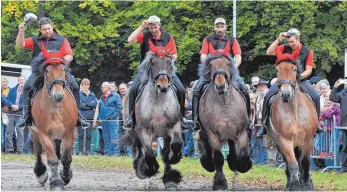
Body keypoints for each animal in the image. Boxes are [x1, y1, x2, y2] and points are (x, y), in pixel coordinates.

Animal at [29, 54, 77, 190]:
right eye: (47, 71)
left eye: (64, 69)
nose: (59, 95)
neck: (56, 107)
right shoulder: (43, 134)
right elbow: (52, 159)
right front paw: (56, 183)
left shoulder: (69, 133)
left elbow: (66, 158)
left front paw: (65, 177)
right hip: (34, 133)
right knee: (38, 151)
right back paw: (41, 173)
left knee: (58, 151)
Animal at [124, 51, 185, 189]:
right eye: (153, 63)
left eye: (169, 63)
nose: (162, 86)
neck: (159, 101)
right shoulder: (144, 131)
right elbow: (149, 154)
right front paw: (149, 170)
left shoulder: (174, 126)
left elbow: (176, 145)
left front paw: (174, 159)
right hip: (133, 132)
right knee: (138, 148)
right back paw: (140, 168)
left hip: (165, 134)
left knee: (166, 151)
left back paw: (169, 178)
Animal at [198, 54, 253, 190]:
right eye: (211, 65)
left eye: (228, 63)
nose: (220, 86)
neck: (224, 104)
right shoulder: (213, 134)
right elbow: (218, 158)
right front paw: (219, 182)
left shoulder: (242, 132)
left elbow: (243, 154)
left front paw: (243, 165)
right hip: (205, 132)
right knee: (206, 147)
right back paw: (207, 163)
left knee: (232, 145)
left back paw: (233, 162)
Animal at [266, 55, 320, 190]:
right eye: (278, 70)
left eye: (294, 69)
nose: (286, 94)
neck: (294, 110)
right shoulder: (284, 140)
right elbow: (292, 163)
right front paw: (295, 185)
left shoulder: (308, 139)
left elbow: (305, 162)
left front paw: (307, 184)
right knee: (288, 162)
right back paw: (291, 182)